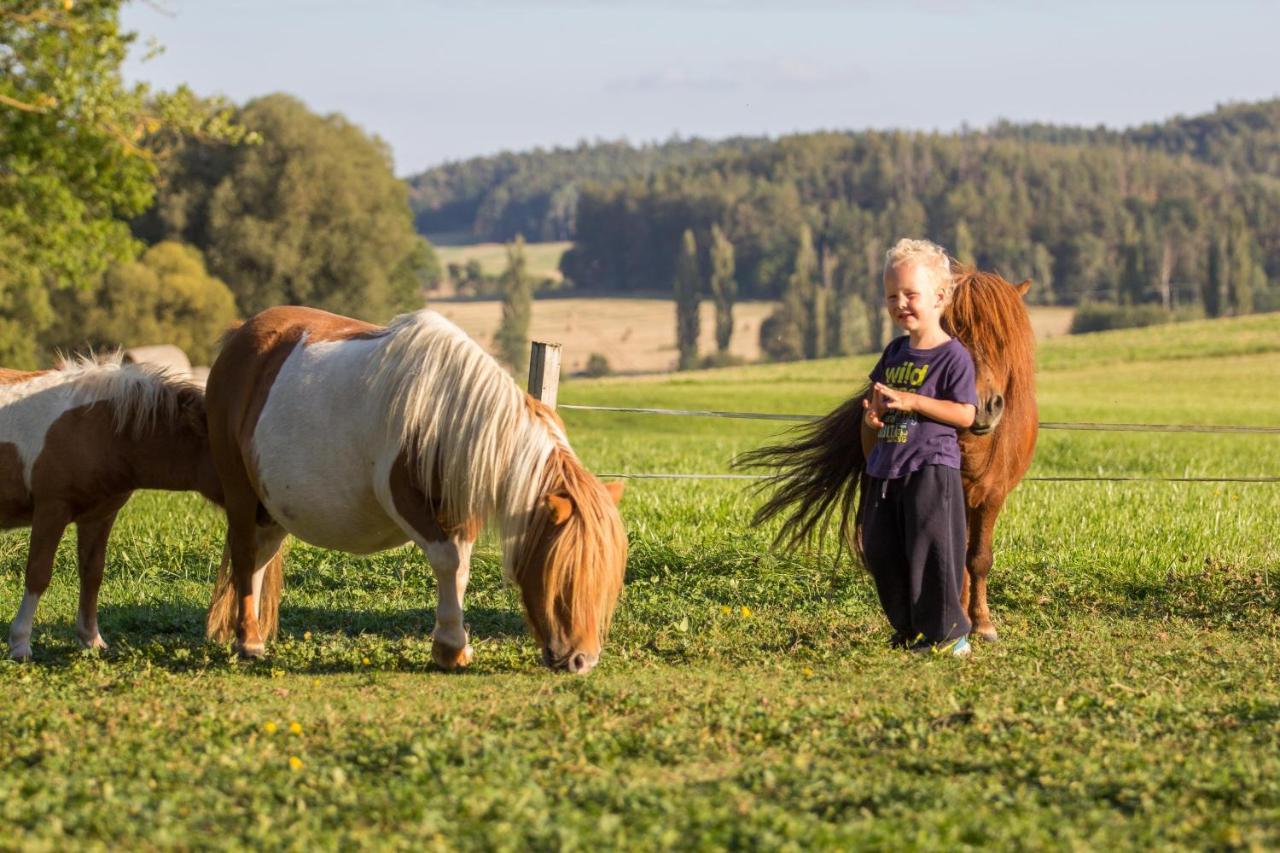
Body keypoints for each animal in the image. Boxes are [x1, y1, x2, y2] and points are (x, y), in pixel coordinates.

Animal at [0, 350, 221, 655]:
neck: (98, 428)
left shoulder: (100, 516)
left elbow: (92, 574)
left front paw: (92, 639)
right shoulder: (51, 509)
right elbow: (38, 573)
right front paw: (20, 644)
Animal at [202, 303, 627, 671]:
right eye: (565, 575)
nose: (582, 660)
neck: (444, 413)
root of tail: (240, 334)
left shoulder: (461, 507)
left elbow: (461, 569)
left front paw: (451, 647)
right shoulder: (406, 501)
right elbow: (447, 561)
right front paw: (451, 647)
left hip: (272, 507)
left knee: (260, 560)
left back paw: (253, 633)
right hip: (242, 495)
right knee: (244, 557)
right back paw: (248, 641)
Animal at [742, 266, 1039, 637]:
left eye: (1003, 341)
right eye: (956, 334)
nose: (984, 408)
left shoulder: (993, 492)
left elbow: (979, 557)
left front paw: (982, 623)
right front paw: (963, 618)